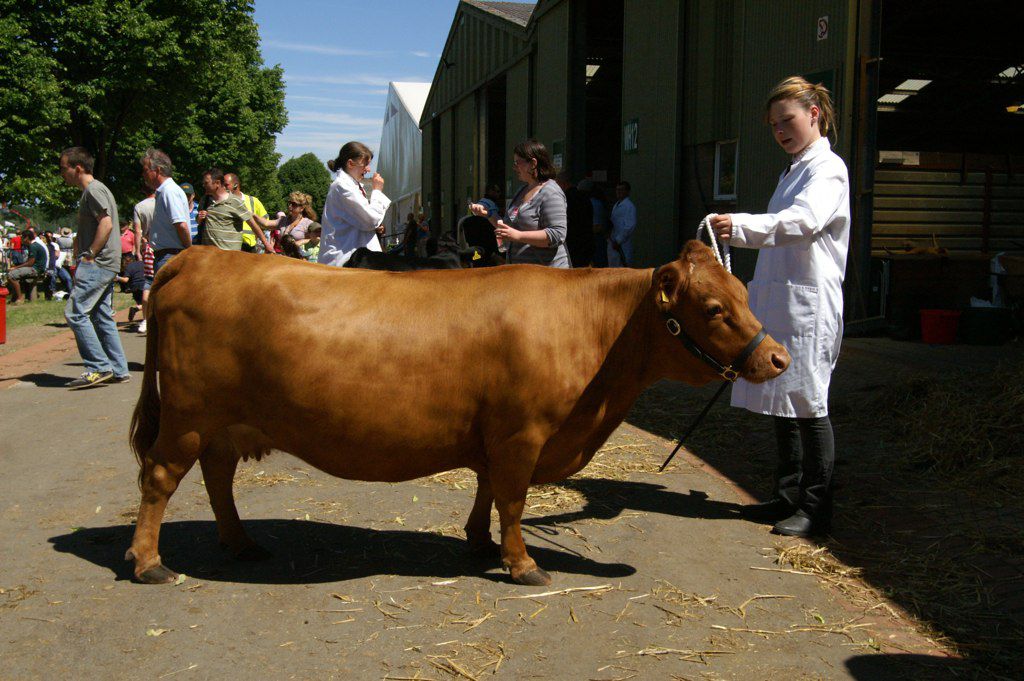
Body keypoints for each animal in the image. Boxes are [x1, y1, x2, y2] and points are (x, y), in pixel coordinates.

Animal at [125, 242, 782, 585]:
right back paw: (150, 562)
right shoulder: (522, 433)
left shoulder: (497, 435)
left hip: (219, 426)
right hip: (187, 417)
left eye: (746, 294)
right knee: (158, 480)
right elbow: (512, 499)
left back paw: (239, 543)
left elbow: (488, 490)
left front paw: (480, 544)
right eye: (715, 308)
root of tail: (199, 255)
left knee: (217, 480)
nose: (777, 357)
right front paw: (523, 564)